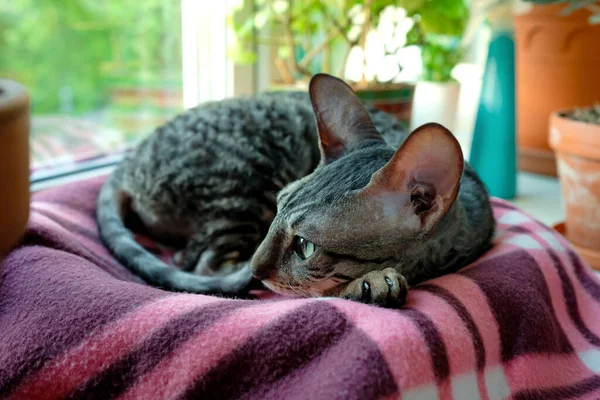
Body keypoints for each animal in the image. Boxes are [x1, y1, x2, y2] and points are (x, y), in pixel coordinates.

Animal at [96, 73, 494, 308]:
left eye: (305, 246)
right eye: (277, 212)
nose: (256, 268)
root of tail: (127, 163)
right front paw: (371, 284)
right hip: (246, 180)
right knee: (202, 264)